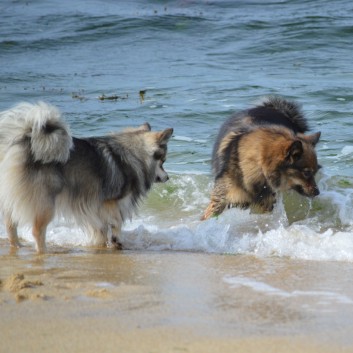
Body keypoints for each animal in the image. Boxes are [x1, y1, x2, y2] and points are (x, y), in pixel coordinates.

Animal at [0, 100, 172, 252]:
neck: (135, 155)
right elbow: (116, 222)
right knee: (36, 230)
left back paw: (18, 247)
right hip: (46, 203)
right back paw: (43, 251)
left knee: (10, 225)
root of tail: (24, 142)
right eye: (163, 161)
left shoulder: (95, 207)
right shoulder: (111, 202)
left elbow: (101, 229)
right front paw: (116, 241)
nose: (168, 178)